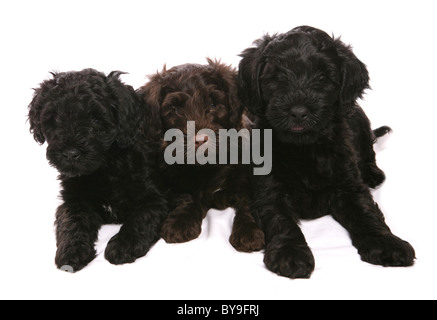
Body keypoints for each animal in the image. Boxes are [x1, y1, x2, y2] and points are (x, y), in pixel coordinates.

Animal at [27, 69, 167, 272]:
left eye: (95, 119)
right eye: (54, 118)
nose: (71, 154)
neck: (104, 169)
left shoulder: (153, 201)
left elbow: (140, 220)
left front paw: (122, 245)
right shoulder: (74, 200)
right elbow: (72, 222)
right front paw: (71, 252)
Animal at [238, 26, 412, 278]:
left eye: (322, 78)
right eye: (278, 76)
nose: (298, 112)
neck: (305, 148)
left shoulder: (349, 187)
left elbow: (367, 214)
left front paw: (387, 243)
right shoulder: (269, 192)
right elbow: (282, 221)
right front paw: (291, 253)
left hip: (360, 122)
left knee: (369, 151)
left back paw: (372, 173)